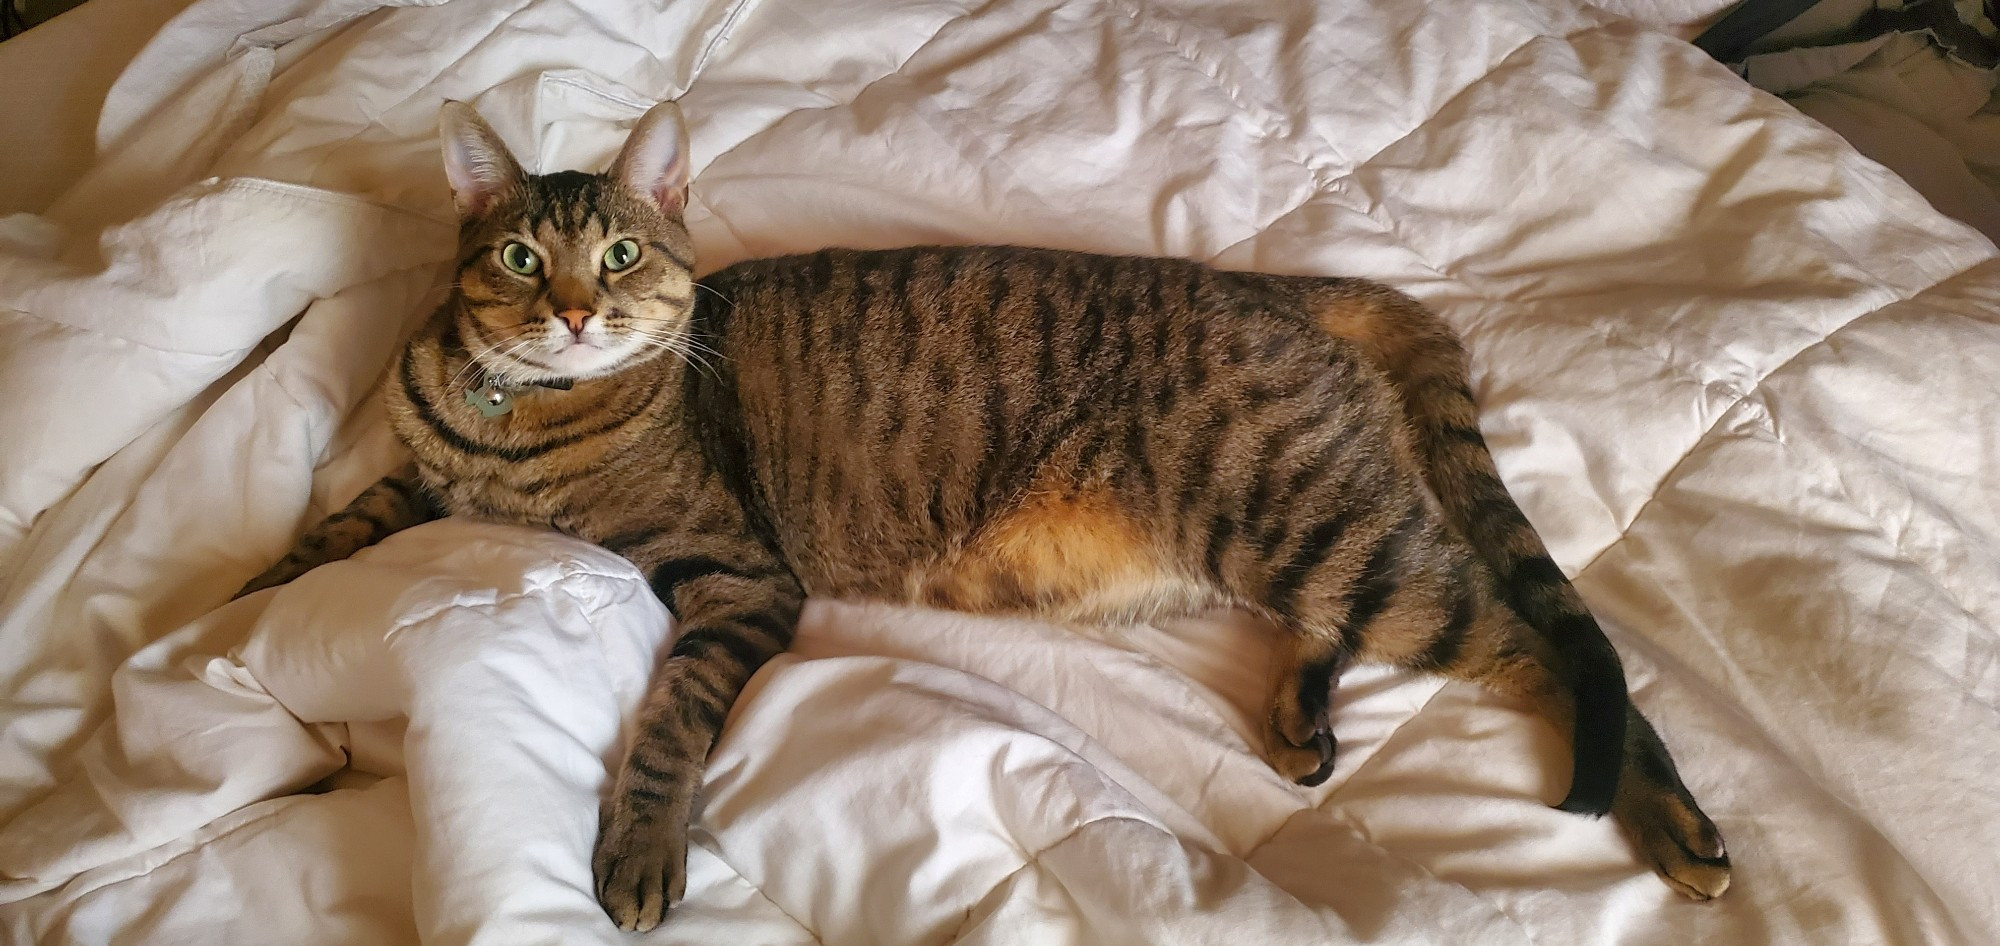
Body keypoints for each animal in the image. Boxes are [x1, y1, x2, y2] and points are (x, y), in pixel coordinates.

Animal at [242, 101, 1728, 928]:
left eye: (617, 253)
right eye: (514, 255)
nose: (567, 311)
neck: (515, 424)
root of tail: (1274, 285)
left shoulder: (737, 578)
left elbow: (668, 719)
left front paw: (641, 850)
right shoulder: (414, 477)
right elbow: (328, 532)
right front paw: (240, 595)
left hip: (1310, 527)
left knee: (1549, 650)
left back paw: (1670, 817)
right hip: (1282, 544)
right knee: (1364, 627)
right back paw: (1300, 714)